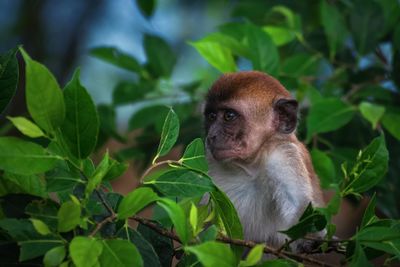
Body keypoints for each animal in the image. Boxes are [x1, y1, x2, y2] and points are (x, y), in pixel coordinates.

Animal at [203, 70, 324, 249]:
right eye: (211, 116)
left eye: (229, 116)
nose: (211, 136)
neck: (250, 165)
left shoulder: (283, 156)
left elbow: (300, 207)